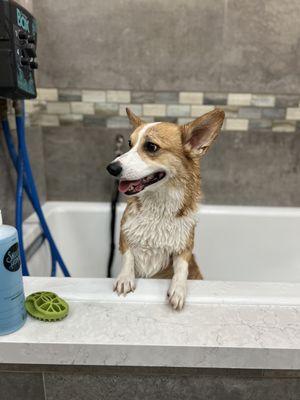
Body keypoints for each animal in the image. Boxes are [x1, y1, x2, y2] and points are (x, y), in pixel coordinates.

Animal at [106, 108, 224, 310]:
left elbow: (182, 268)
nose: (111, 168)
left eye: (151, 147)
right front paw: (125, 278)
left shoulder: (184, 247)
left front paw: (178, 290)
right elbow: (128, 256)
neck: (158, 207)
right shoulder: (124, 234)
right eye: (129, 144)